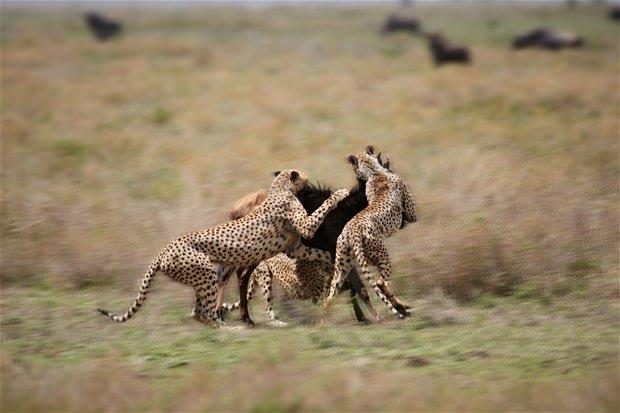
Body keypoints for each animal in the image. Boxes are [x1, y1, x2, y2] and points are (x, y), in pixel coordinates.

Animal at [97, 169, 348, 326]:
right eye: (305, 180)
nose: (310, 185)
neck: (278, 188)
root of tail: (164, 250)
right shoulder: (304, 228)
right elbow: (323, 209)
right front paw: (341, 193)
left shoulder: (294, 248)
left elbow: (317, 252)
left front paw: (332, 258)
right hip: (206, 270)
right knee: (209, 306)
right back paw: (232, 325)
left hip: (207, 274)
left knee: (203, 306)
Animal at [322, 146, 418, 320]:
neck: (374, 172)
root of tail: (352, 233)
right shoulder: (411, 213)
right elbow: (410, 216)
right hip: (381, 256)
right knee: (381, 283)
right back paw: (401, 308)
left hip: (343, 266)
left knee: (330, 297)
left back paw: (323, 324)